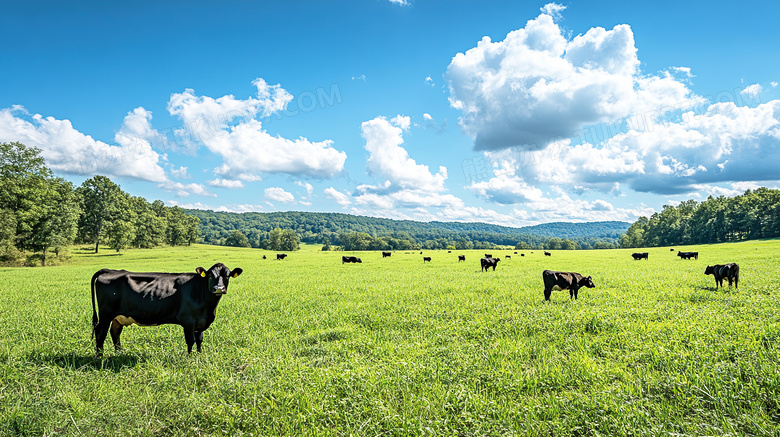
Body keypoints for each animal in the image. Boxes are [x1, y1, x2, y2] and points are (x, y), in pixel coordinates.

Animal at [90, 262, 241, 354]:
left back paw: (119, 352)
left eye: (227, 276)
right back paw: (100, 356)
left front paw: (199, 356)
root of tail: (110, 270)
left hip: (118, 317)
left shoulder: (200, 321)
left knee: (115, 332)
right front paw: (189, 358)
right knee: (100, 333)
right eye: (210, 275)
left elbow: (199, 340)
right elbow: (190, 340)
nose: (219, 288)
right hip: (106, 314)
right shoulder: (188, 320)